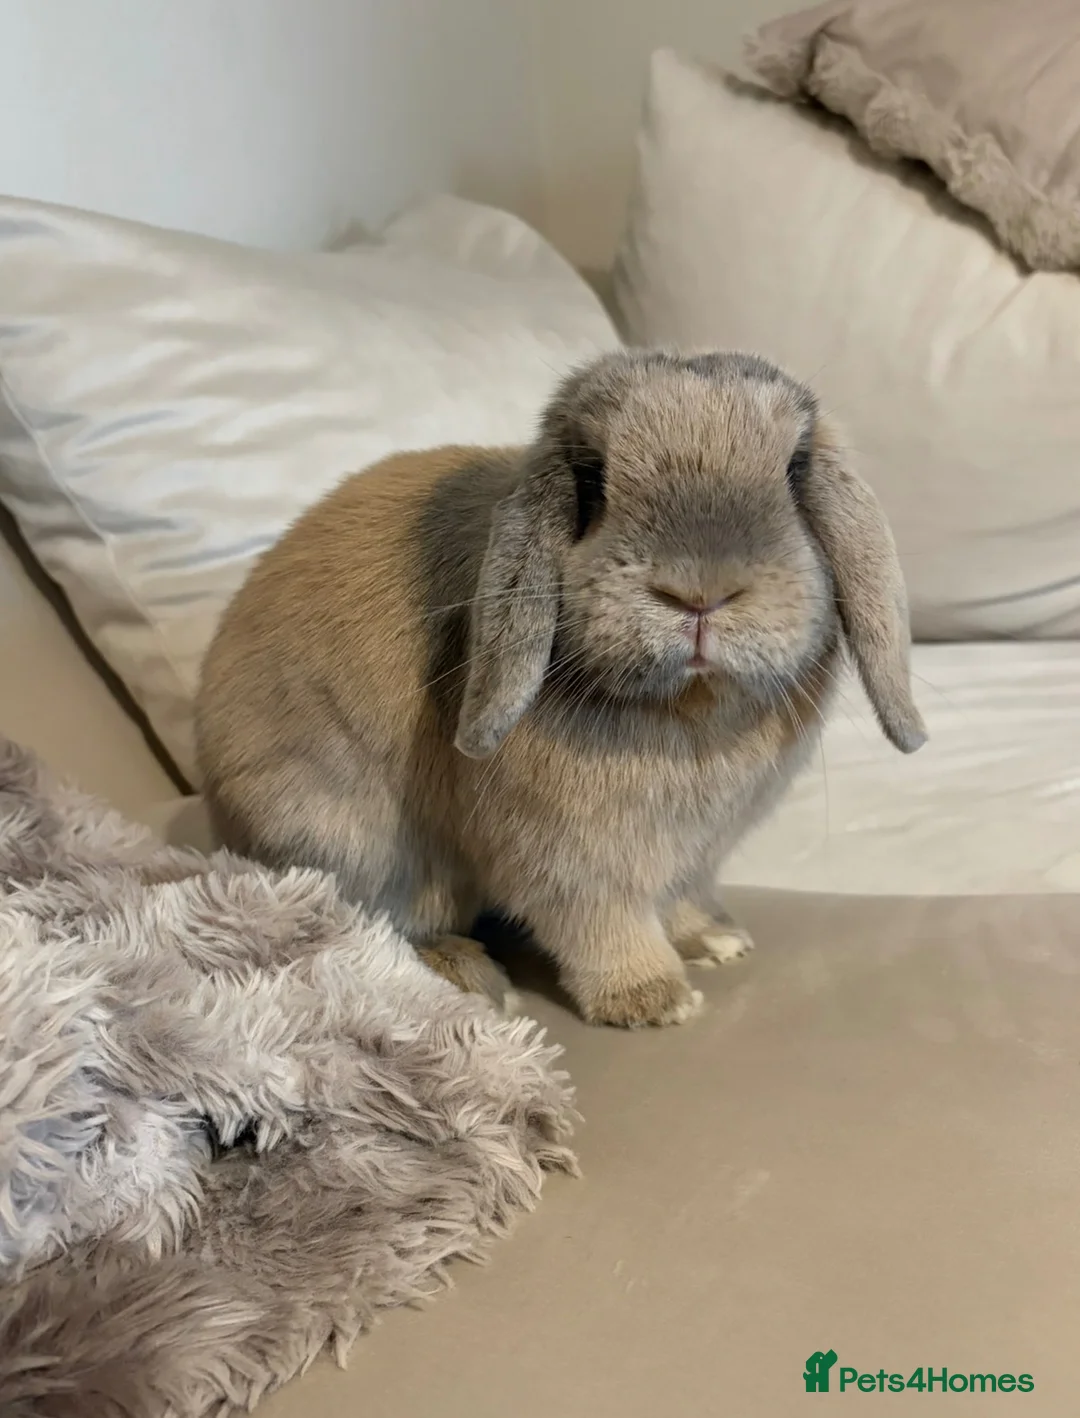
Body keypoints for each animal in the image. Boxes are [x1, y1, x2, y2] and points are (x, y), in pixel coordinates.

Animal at [195, 349, 925, 1028]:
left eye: (796, 470)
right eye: (592, 479)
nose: (699, 591)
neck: (686, 705)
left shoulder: (693, 854)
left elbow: (680, 898)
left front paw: (717, 941)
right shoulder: (571, 862)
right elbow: (602, 924)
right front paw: (656, 1001)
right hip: (344, 844)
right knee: (368, 926)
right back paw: (473, 977)